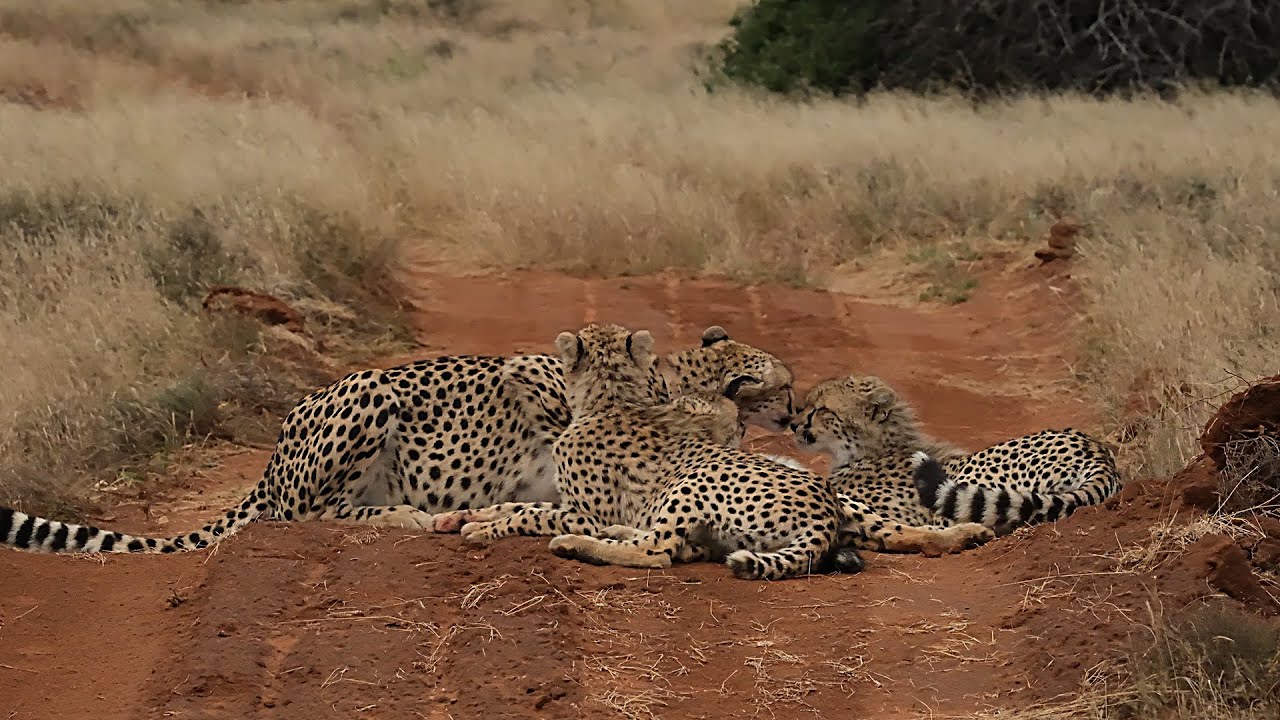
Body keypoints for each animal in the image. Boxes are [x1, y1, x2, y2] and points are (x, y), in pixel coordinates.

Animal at [0, 325, 797, 555]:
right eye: (787, 389)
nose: (793, 412)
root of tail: (270, 458)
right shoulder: (530, 371)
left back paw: (433, 516)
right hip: (370, 390)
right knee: (308, 515)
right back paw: (419, 516)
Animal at [450, 322, 854, 580]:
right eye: (783, 388)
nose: (794, 414)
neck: (612, 402)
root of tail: (826, 511)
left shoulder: (587, 514)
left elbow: (532, 514)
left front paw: (485, 530)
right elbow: (523, 505)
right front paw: (471, 517)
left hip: (694, 478)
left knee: (657, 551)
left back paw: (575, 543)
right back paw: (617, 533)